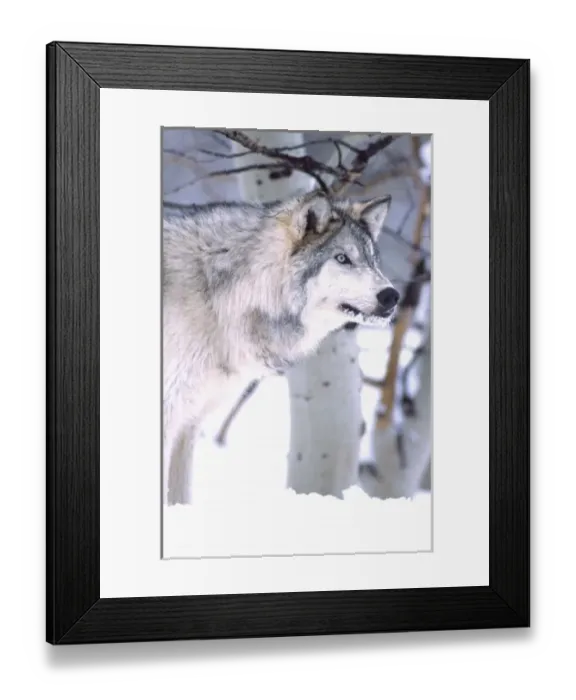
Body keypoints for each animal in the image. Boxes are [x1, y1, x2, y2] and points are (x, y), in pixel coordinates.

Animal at [162, 190, 399, 505]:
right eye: (342, 258)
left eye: (372, 261)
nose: (392, 296)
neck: (219, 297)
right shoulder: (170, 416)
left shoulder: (188, 423)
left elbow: (180, 497)